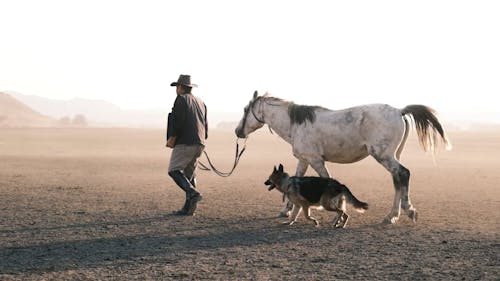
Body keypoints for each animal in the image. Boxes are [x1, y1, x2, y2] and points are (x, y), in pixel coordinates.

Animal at [236, 91, 452, 223]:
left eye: (246, 110)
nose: (238, 131)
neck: (295, 124)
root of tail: (399, 111)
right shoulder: (304, 160)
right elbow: (294, 180)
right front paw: (286, 210)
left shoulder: (316, 160)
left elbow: (328, 180)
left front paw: (336, 213)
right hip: (390, 155)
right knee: (397, 179)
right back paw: (391, 216)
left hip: (382, 155)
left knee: (403, 174)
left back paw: (407, 211)